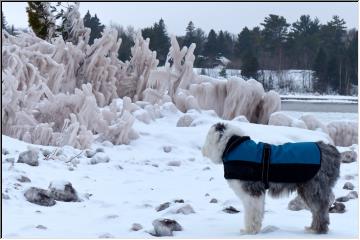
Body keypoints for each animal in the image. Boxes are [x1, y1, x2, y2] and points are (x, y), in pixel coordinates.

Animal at [202, 123, 340, 233]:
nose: (203, 150)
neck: (233, 145)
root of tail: (332, 150)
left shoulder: (252, 191)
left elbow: (252, 213)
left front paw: (249, 231)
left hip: (314, 188)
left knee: (320, 210)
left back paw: (316, 230)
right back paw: (314, 228)